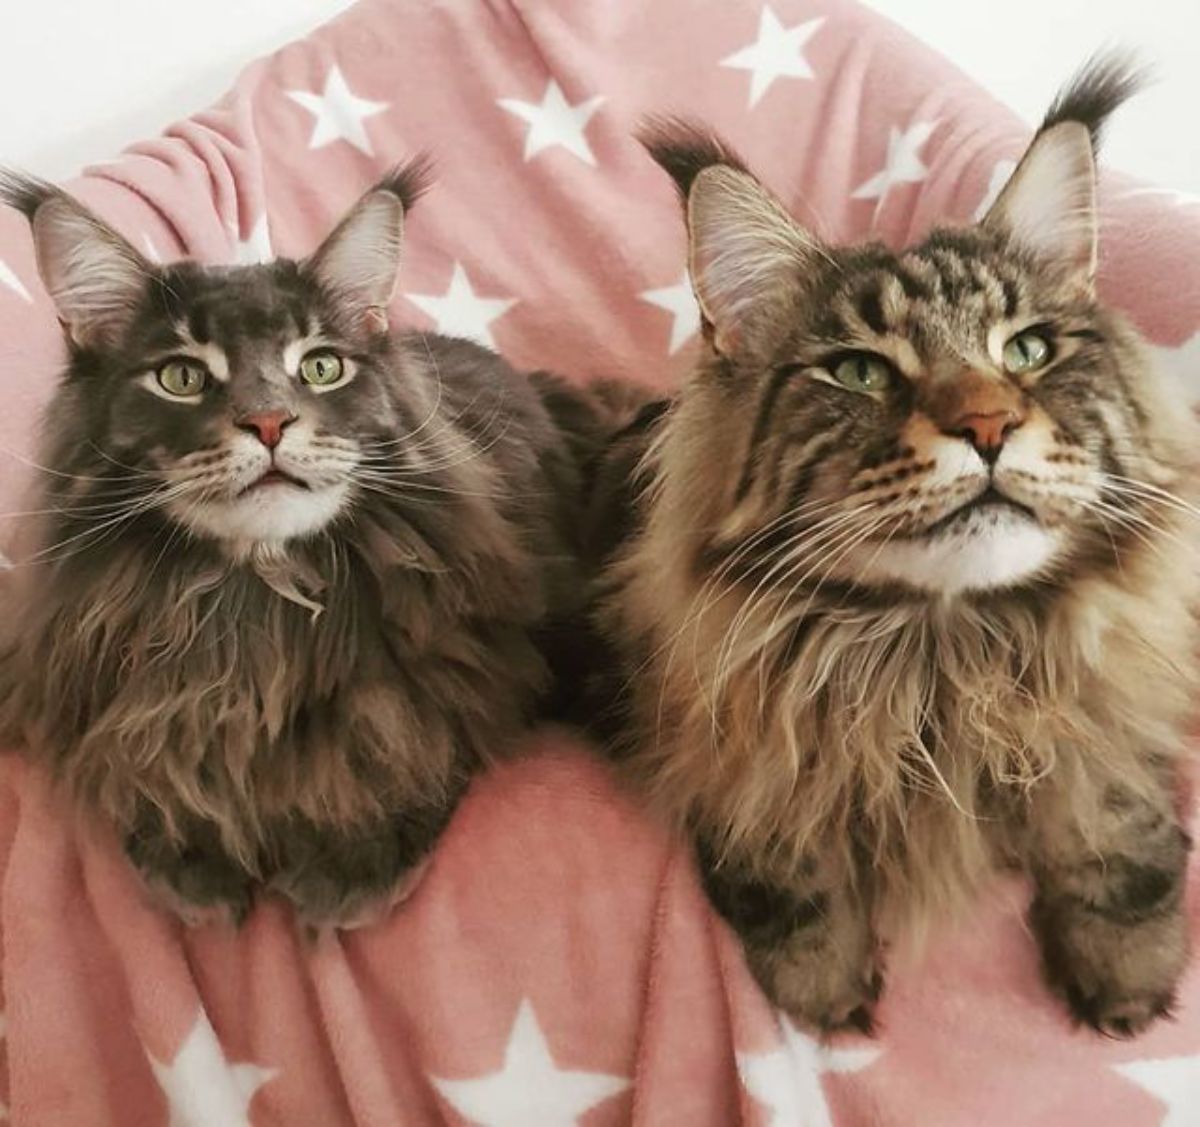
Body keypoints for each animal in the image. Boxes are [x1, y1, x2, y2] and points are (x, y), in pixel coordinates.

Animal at [0, 163, 590, 931]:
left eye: (320, 368)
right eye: (181, 377)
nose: (269, 421)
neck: (256, 604)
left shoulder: (466, 674)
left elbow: (405, 749)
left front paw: (350, 864)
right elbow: (150, 768)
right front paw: (191, 862)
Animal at [590, 55, 1200, 1041]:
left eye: (1028, 350)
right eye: (860, 371)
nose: (987, 424)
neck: (943, 655)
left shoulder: (1109, 707)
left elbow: (1118, 831)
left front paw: (1129, 981)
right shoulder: (725, 739)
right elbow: (784, 869)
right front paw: (827, 992)